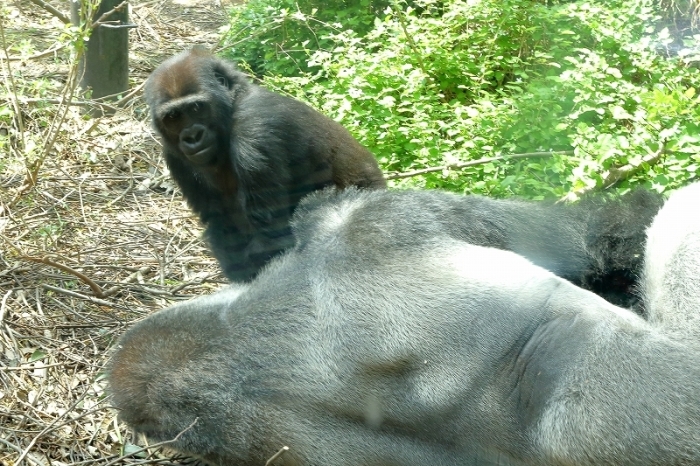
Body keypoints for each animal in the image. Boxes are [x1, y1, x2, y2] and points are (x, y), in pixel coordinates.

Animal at [146, 47, 388, 282]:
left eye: (197, 108)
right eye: (173, 116)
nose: (192, 136)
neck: (233, 105)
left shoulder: (255, 128)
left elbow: (269, 235)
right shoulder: (174, 156)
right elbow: (223, 227)